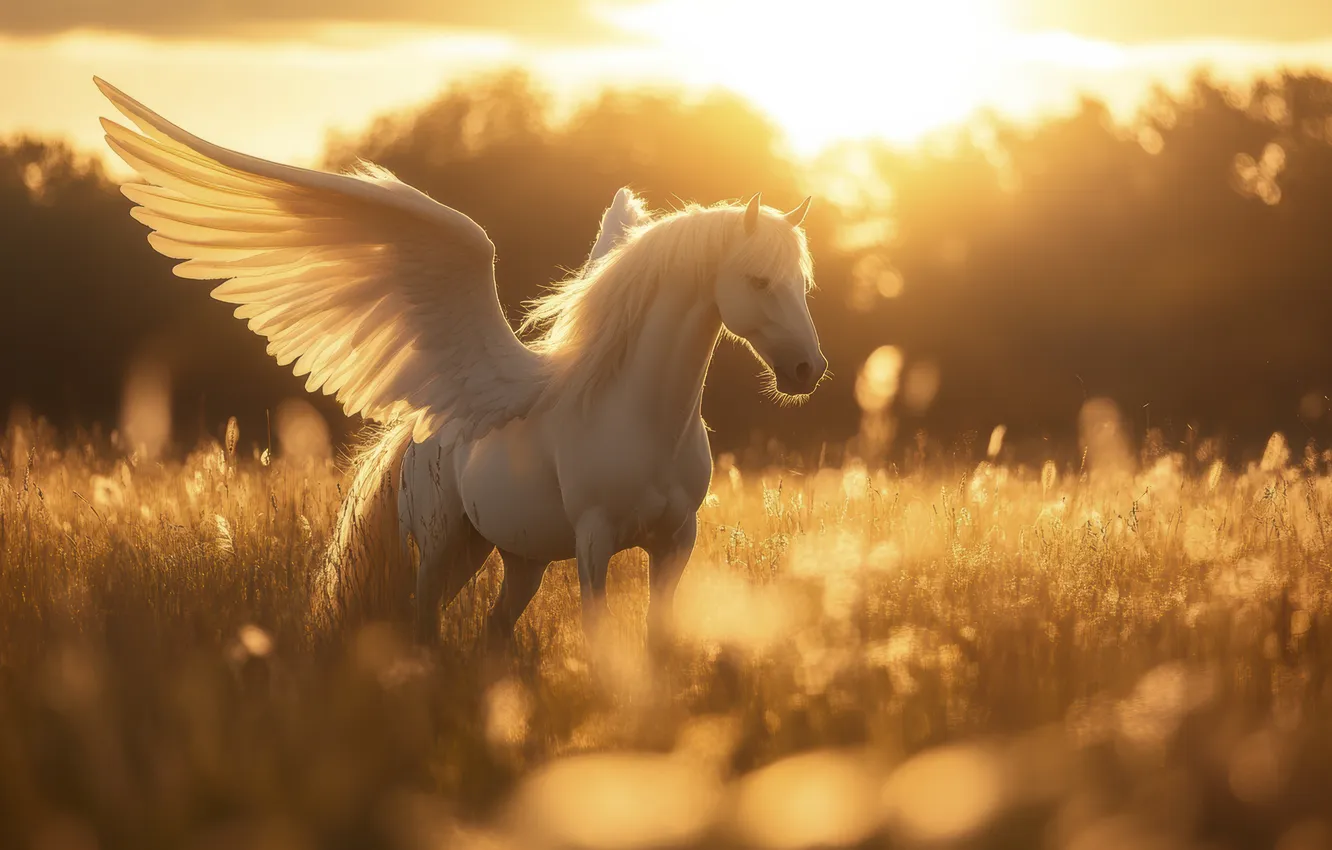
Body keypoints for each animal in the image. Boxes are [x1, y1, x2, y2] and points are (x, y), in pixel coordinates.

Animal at [94, 77, 828, 647]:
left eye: (801, 282)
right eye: (758, 280)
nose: (807, 372)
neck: (641, 417)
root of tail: (426, 429)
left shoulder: (676, 542)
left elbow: (656, 643)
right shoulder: (594, 544)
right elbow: (600, 640)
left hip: (517, 556)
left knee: (491, 634)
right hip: (444, 547)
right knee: (426, 628)